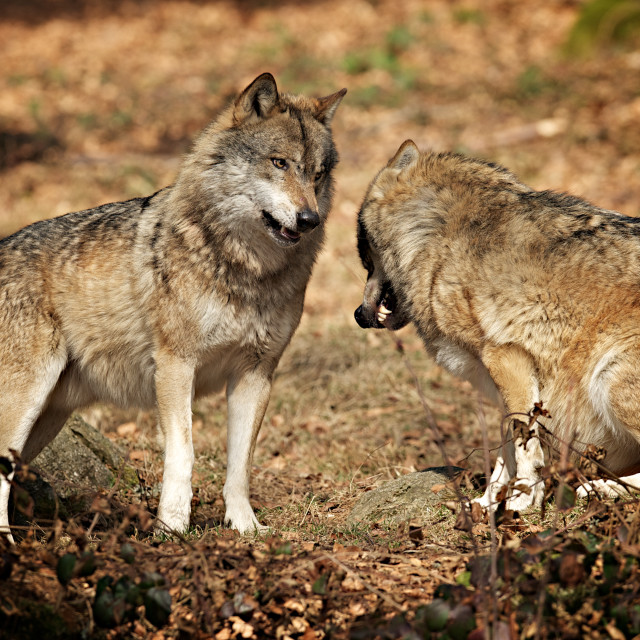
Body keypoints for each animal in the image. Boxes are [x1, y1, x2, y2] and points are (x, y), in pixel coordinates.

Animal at [0, 72, 348, 536]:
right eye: (279, 163)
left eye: (318, 174)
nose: (310, 219)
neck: (244, 270)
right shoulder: (175, 365)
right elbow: (184, 453)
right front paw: (173, 529)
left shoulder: (256, 373)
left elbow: (241, 465)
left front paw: (245, 528)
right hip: (26, 400)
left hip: (47, 418)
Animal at [356, 139, 640, 510]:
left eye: (364, 257)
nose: (358, 315)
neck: (432, 234)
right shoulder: (506, 376)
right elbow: (505, 452)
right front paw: (487, 505)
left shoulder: (505, 358)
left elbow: (523, 443)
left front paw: (522, 500)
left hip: (609, 376)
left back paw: (602, 489)